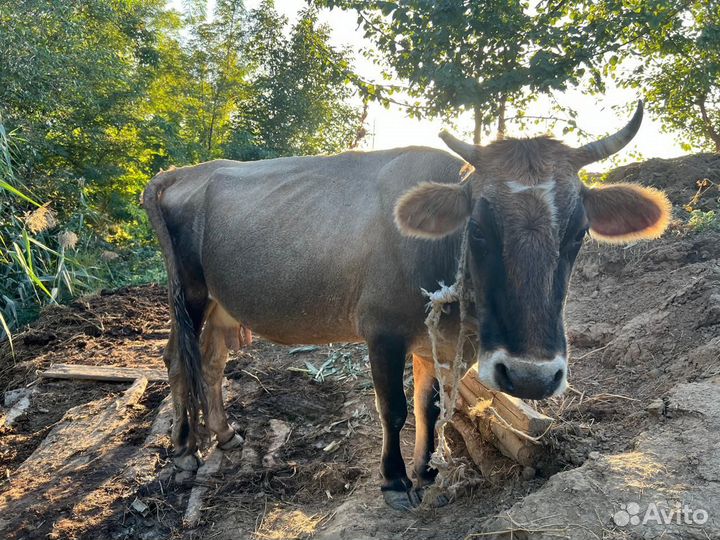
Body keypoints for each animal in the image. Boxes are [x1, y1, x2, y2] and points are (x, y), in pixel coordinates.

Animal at [143, 102, 671, 510]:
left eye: (578, 232)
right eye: (478, 229)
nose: (530, 378)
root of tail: (180, 173)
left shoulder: (434, 340)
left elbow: (428, 407)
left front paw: (425, 469)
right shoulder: (382, 331)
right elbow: (393, 408)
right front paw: (395, 480)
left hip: (222, 302)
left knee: (211, 361)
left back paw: (225, 433)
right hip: (187, 294)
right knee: (178, 360)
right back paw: (185, 451)